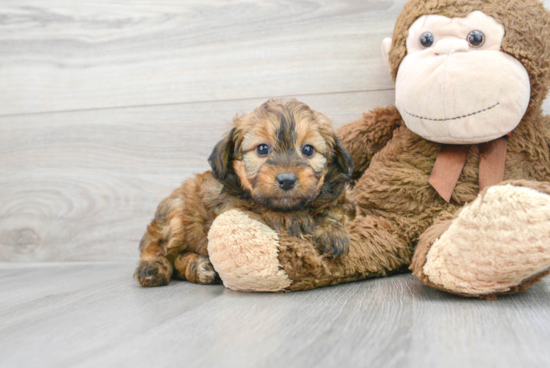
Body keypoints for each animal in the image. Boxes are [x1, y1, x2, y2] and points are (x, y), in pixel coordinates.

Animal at [136, 98, 356, 288]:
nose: (286, 180)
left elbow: (335, 209)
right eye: (262, 149)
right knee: (157, 249)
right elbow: (257, 204)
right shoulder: (231, 205)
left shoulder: (343, 199)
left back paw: (199, 267)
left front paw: (331, 231)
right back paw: (152, 269)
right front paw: (290, 218)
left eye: (308, 150)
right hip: (175, 215)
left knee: (179, 258)